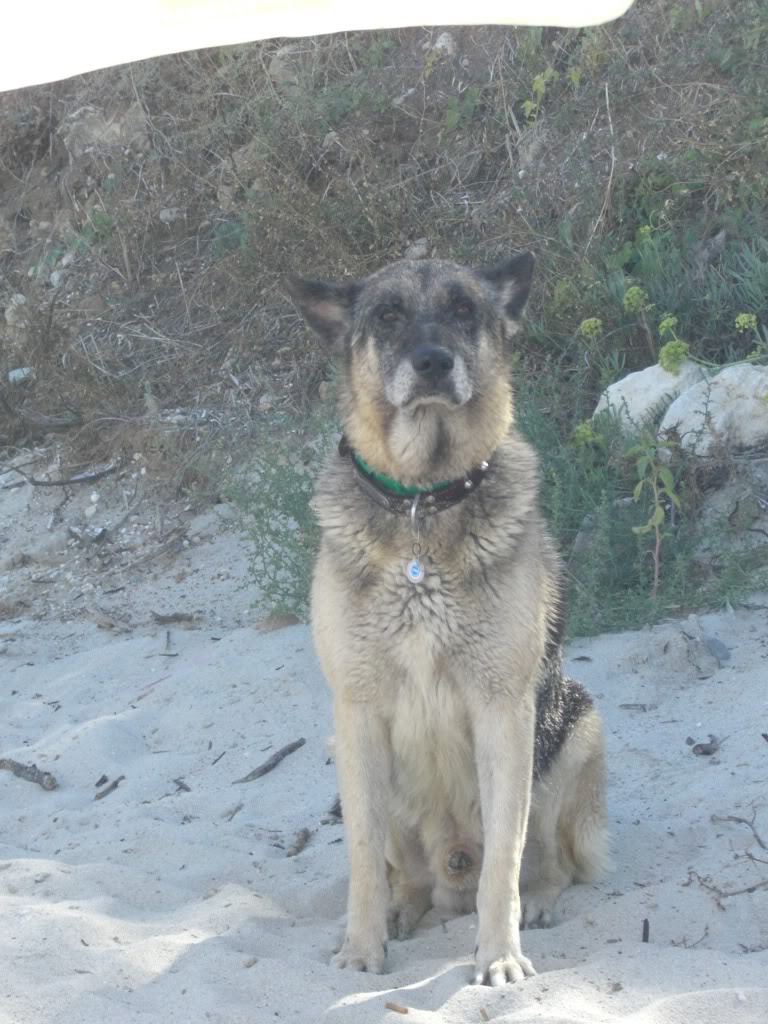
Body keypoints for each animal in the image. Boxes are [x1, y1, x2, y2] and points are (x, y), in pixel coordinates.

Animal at [286, 253, 606, 983]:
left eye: (463, 309)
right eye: (388, 316)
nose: (433, 362)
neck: (420, 504)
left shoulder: (503, 710)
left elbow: (504, 863)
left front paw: (500, 956)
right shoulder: (357, 712)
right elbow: (362, 860)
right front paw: (362, 947)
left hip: (575, 727)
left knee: (546, 861)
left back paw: (534, 902)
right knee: (407, 874)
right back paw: (403, 910)